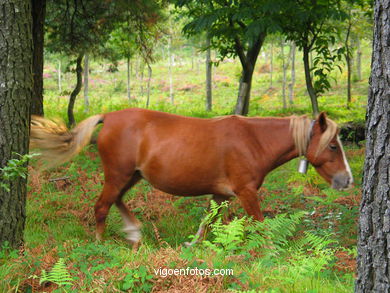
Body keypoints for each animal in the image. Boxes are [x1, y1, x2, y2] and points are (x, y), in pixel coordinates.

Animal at [30, 107, 354, 244]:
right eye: (333, 145)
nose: (347, 180)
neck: (253, 140)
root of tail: (108, 117)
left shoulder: (221, 195)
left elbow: (208, 226)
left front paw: (194, 248)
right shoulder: (246, 192)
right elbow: (260, 227)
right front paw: (270, 255)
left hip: (131, 176)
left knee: (116, 201)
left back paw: (133, 233)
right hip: (117, 175)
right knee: (101, 206)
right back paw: (101, 244)